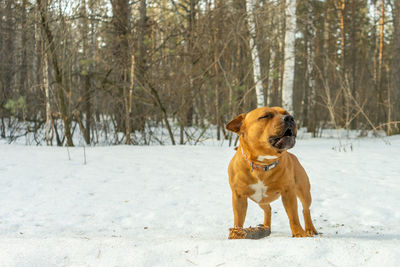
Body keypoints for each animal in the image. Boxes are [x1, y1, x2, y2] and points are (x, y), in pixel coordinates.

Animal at [227, 107, 318, 239]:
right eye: (265, 116)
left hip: (304, 192)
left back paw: (310, 229)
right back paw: (265, 227)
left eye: (286, 113)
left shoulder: (288, 192)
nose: (290, 118)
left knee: (306, 209)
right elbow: (238, 219)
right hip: (261, 200)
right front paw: (237, 233)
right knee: (268, 209)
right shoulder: (239, 197)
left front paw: (299, 233)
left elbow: (293, 215)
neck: (263, 164)